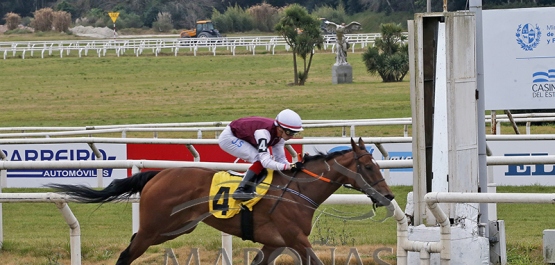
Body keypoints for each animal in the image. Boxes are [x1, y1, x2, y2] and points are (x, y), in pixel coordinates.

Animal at [47, 137, 396, 262]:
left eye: (377, 164)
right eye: (368, 166)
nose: (389, 195)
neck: (299, 190)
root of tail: (156, 175)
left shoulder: (275, 243)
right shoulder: (296, 239)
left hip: (174, 228)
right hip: (155, 228)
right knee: (127, 253)